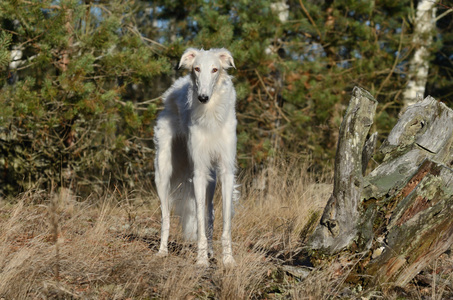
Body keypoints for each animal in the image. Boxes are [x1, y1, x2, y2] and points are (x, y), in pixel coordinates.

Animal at [154, 48, 238, 266]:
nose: (203, 97)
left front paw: (228, 259)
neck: (210, 115)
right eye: (197, 69)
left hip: (212, 179)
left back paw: (211, 251)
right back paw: (162, 251)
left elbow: (225, 221)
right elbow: (198, 219)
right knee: (165, 217)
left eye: (215, 69)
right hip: (163, 172)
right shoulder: (198, 171)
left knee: (210, 214)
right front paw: (201, 261)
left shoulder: (226, 170)